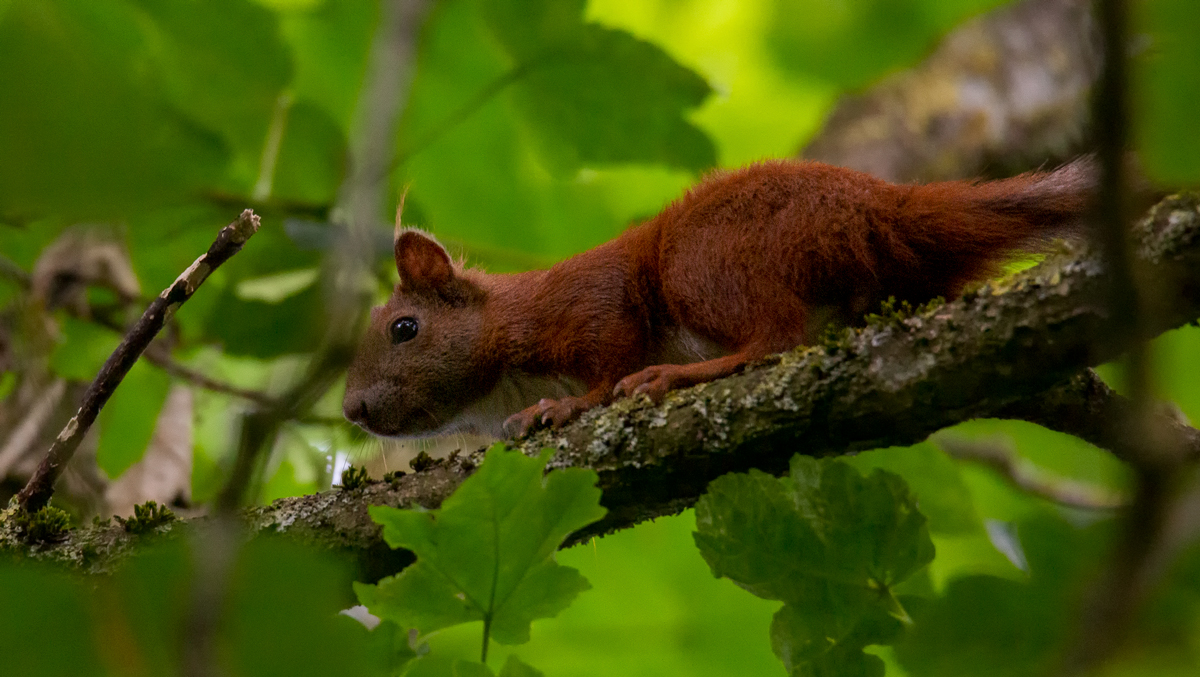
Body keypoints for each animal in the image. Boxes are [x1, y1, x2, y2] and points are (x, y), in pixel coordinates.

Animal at [343, 160, 1094, 441]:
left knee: (773, 339)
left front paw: (568, 405)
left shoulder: (586, 303)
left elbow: (606, 357)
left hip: (701, 263)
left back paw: (675, 373)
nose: (352, 410)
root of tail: (879, 207)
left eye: (405, 328)